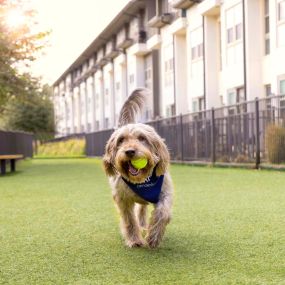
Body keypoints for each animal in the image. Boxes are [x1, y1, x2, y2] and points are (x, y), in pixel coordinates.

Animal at [103, 87, 172, 247]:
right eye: (121, 140)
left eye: (142, 138)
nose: (129, 151)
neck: (142, 180)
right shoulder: (122, 199)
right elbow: (129, 220)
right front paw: (134, 239)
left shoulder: (164, 192)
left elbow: (163, 212)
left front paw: (154, 236)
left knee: (142, 208)